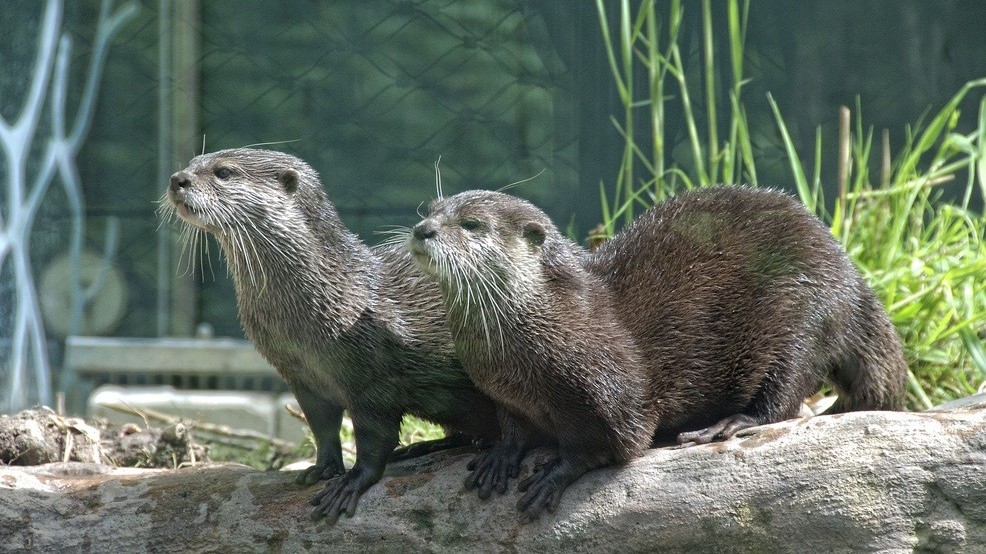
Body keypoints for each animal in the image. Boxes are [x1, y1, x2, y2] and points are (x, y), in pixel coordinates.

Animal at [161, 148, 500, 523]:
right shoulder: (301, 377)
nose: (178, 179)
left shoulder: (372, 381)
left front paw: (351, 481)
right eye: (192, 163)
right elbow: (322, 427)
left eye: (223, 172)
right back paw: (426, 446)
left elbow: (375, 438)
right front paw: (321, 469)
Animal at [408, 186, 907, 519]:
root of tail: (850, 277)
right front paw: (501, 457)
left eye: (472, 224)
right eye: (429, 209)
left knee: (783, 397)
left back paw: (726, 424)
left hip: (802, 317)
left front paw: (556, 472)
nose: (422, 229)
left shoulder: (610, 389)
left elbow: (613, 442)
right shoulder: (503, 394)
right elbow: (513, 430)